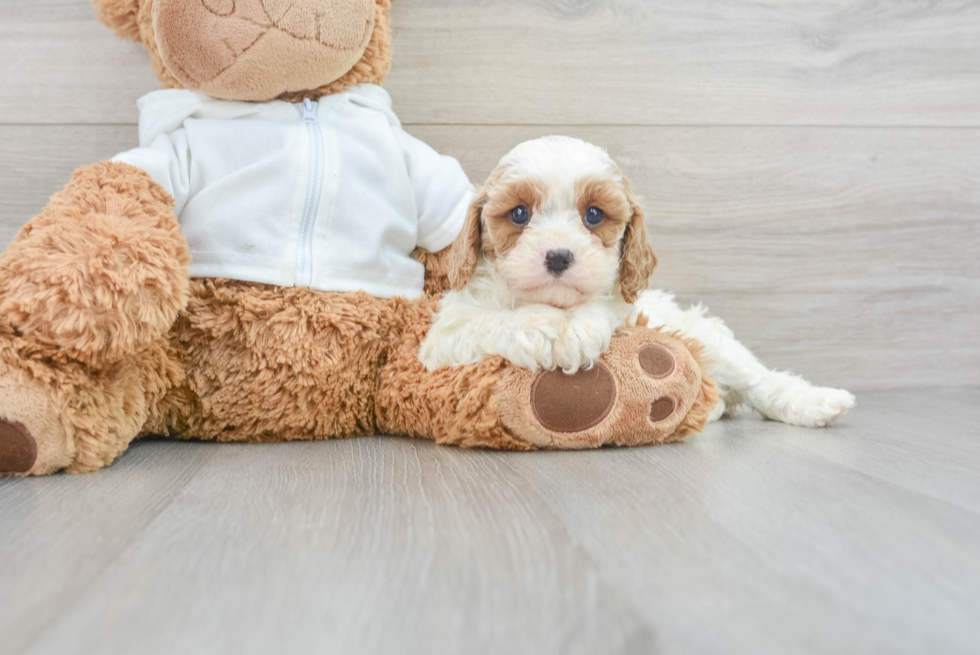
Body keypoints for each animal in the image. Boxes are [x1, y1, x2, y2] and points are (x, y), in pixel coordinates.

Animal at [422, 136, 856, 428]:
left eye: (594, 214)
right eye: (519, 213)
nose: (559, 256)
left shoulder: (628, 306)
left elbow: (606, 308)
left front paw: (578, 328)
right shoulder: (443, 340)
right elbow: (489, 321)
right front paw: (548, 326)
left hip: (710, 340)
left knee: (759, 380)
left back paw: (817, 402)